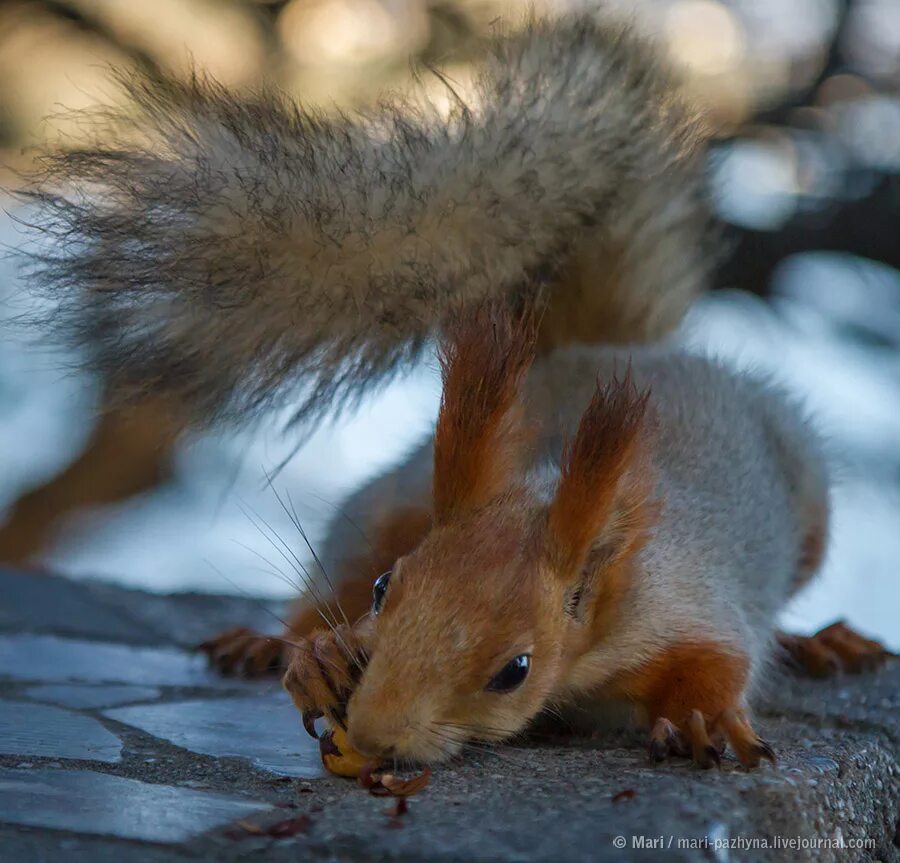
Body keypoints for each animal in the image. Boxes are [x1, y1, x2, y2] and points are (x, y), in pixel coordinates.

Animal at [22, 15, 892, 768]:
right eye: (387, 589)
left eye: (515, 668)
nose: (375, 730)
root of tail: (598, 349)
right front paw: (326, 652)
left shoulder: (686, 603)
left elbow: (721, 659)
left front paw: (706, 713)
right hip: (401, 490)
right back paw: (277, 640)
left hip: (809, 511)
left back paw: (820, 642)